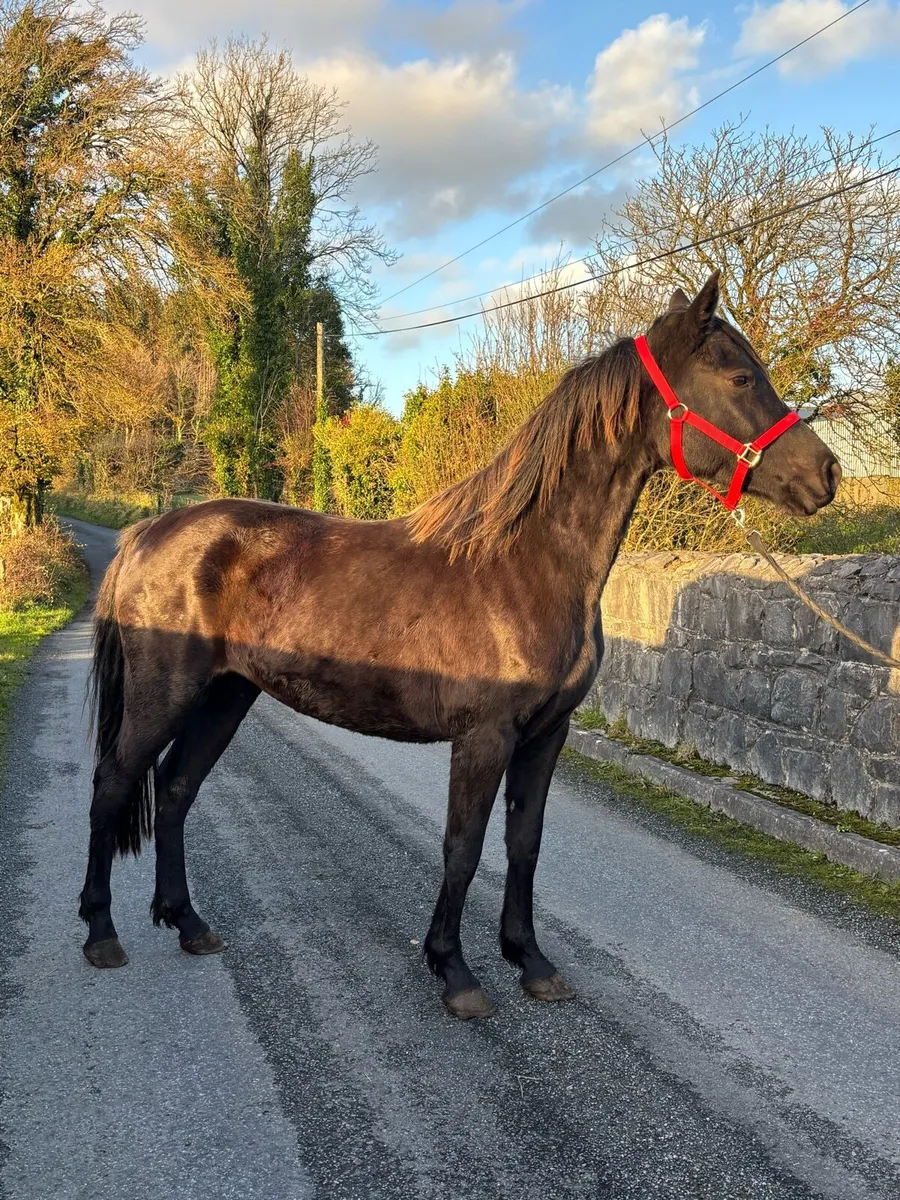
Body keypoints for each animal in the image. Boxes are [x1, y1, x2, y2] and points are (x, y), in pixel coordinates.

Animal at [79, 272, 840, 1019]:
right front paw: (455, 971)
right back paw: (101, 933)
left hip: (227, 694)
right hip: (163, 695)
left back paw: (188, 922)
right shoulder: (484, 736)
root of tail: (147, 533)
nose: (827, 474)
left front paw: (531, 962)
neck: (523, 566)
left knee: (176, 787)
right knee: (115, 782)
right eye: (740, 377)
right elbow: (463, 846)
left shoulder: (546, 734)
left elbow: (524, 844)